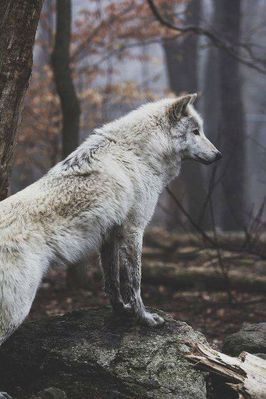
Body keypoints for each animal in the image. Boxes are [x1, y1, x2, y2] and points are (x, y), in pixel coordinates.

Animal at [0, 93, 221, 344]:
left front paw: (121, 311)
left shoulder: (109, 236)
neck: (137, 153)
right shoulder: (134, 230)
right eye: (196, 131)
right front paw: (144, 318)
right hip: (17, 311)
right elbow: (134, 283)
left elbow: (112, 282)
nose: (219, 155)